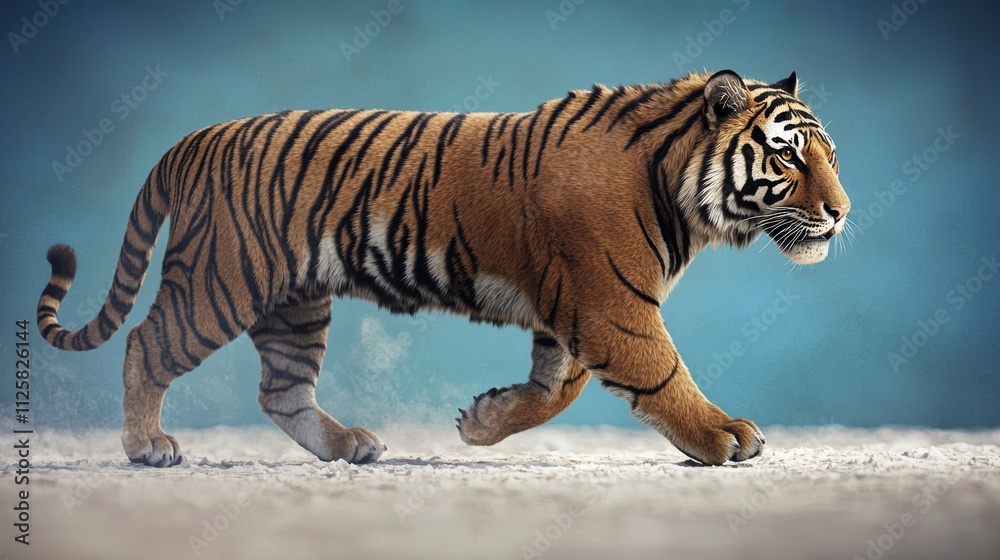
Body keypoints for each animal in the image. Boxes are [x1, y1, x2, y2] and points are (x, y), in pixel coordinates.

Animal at [37, 69, 849, 467]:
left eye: (830, 154)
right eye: (787, 155)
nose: (842, 213)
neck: (680, 190)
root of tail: (194, 140)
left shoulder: (572, 308)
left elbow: (557, 388)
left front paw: (482, 424)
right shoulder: (610, 304)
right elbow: (660, 373)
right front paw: (723, 437)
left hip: (295, 303)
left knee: (280, 390)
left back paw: (348, 447)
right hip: (222, 282)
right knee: (147, 345)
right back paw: (148, 448)